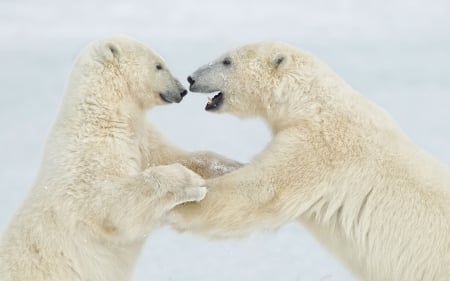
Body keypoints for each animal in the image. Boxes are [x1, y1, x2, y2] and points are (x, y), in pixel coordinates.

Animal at [0, 35, 241, 280]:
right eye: (158, 65)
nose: (182, 90)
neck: (100, 112)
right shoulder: (91, 151)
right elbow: (112, 203)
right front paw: (190, 182)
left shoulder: (141, 136)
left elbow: (174, 155)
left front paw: (235, 166)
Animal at [170, 41, 450, 280]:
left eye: (227, 61)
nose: (191, 78)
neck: (313, 102)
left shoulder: (321, 146)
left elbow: (262, 189)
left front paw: (179, 207)